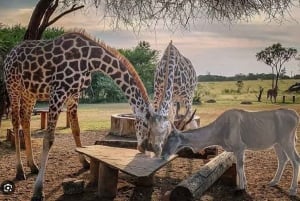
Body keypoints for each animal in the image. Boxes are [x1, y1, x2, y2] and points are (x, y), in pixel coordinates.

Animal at [3, 32, 155, 200]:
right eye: (147, 125)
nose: (143, 147)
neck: (91, 60)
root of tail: (9, 54)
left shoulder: (73, 95)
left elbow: (76, 129)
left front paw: (85, 162)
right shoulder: (58, 92)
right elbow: (48, 139)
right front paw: (38, 190)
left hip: (30, 92)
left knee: (26, 120)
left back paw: (33, 165)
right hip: (13, 87)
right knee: (16, 121)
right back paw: (20, 171)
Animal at [162, 109, 300, 196]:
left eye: (170, 138)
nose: (163, 155)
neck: (221, 130)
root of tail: (295, 115)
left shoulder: (240, 147)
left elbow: (240, 167)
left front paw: (241, 188)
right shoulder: (235, 150)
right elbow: (239, 167)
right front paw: (244, 184)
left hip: (287, 141)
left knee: (295, 160)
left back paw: (292, 190)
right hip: (277, 144)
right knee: (283, 159)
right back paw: (273, 182)